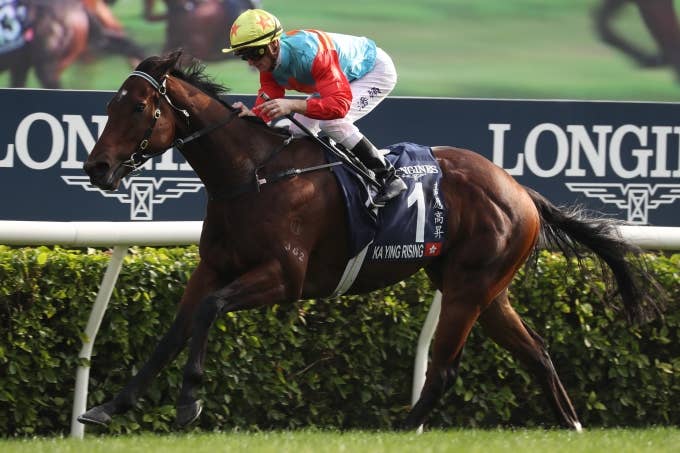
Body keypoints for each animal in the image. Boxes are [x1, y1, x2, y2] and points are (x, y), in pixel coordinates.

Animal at [78, 51, 664, 431]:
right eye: (109, 105)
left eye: (137, 108)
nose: (97, 168)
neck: (253, 173)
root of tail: (520, 190)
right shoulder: (213, 267)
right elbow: (174, 331)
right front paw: (109, 407)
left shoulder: (284, 277)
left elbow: (208, 312)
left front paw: (189, 402)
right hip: (486, 290)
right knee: (537, 354)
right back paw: (572, 425)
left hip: (468, 289)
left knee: (445, 369)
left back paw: (401, 431)